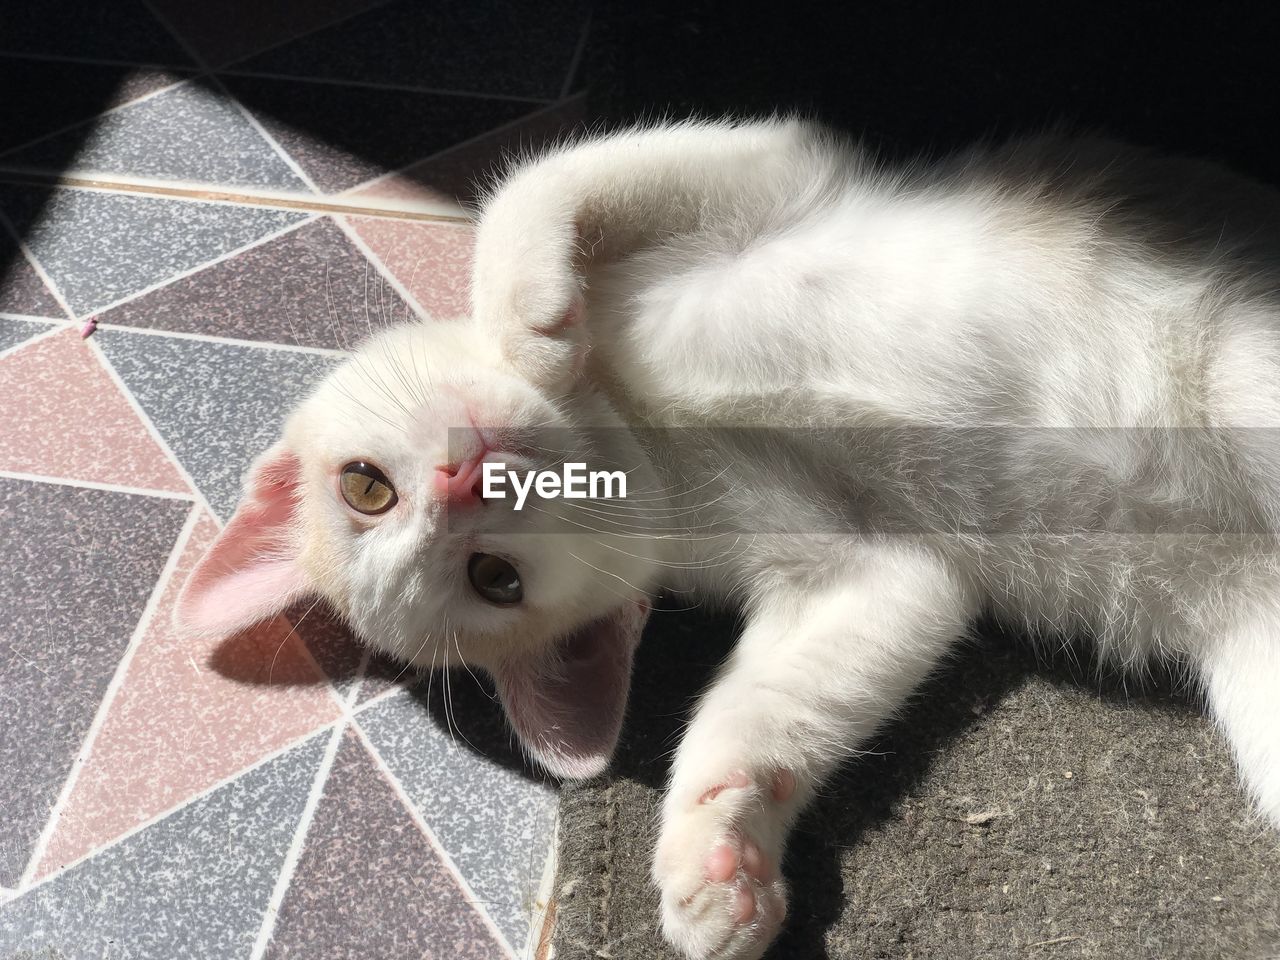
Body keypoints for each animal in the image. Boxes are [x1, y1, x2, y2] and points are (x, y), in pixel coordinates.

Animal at [177, 120, 1280, 960]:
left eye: (362, 486)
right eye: (494, 581)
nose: (463, 482)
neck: (651, 436)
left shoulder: (778, 177)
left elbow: (537, 185)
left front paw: (530, 318)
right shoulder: (881, 574)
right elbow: (759, 709)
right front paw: (714, 854)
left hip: (1237, 354)